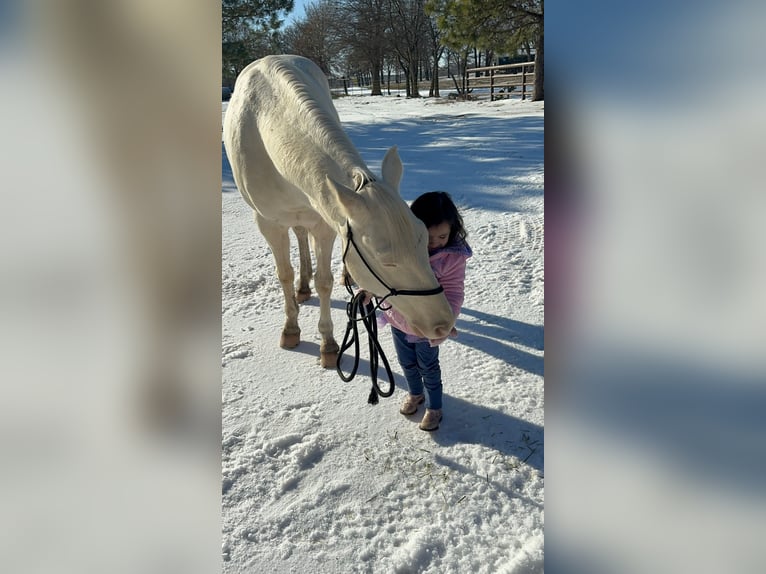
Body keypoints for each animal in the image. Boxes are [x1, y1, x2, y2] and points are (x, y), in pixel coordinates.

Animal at [223, 55, 455, 368]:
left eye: (424, 242)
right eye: (386, 261)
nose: (444, 324)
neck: (268, 125)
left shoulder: (324, 222)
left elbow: (324, 282)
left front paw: (328, 344)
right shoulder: (268, 223)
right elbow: (284, 274)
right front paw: (291, 329)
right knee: (299, 236)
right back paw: (301, 287)